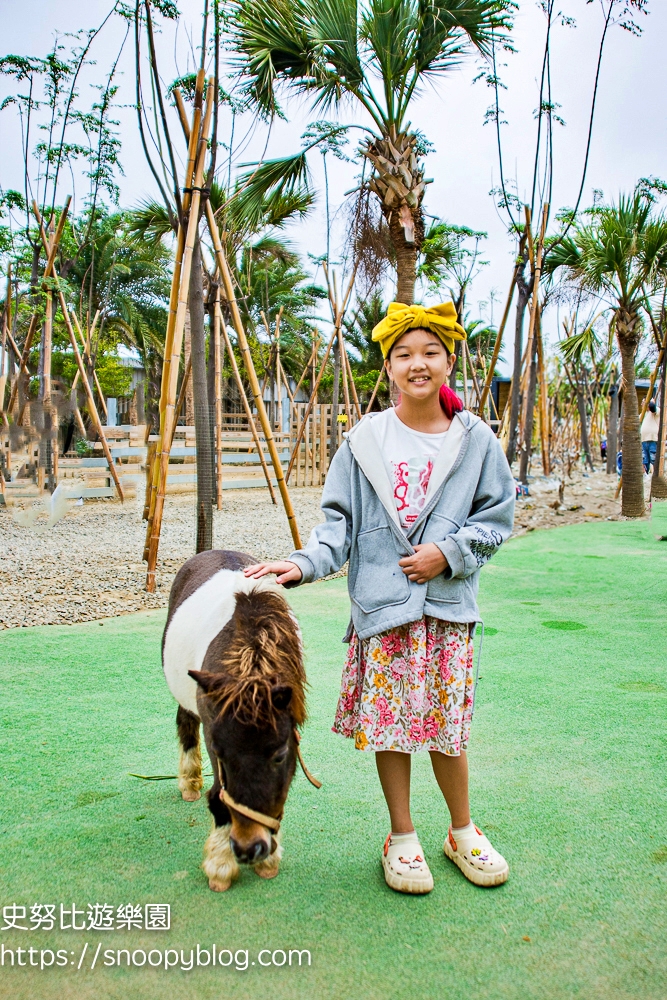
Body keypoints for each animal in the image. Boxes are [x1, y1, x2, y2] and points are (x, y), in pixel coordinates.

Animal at [162, 552, 308, 896]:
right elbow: (218, 794)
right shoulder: (212, 726)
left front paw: (269, 860)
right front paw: (220, 865)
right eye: (219, 753)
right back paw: (189, 782)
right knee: (185, 722)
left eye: (280, 755)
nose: (247, 848)